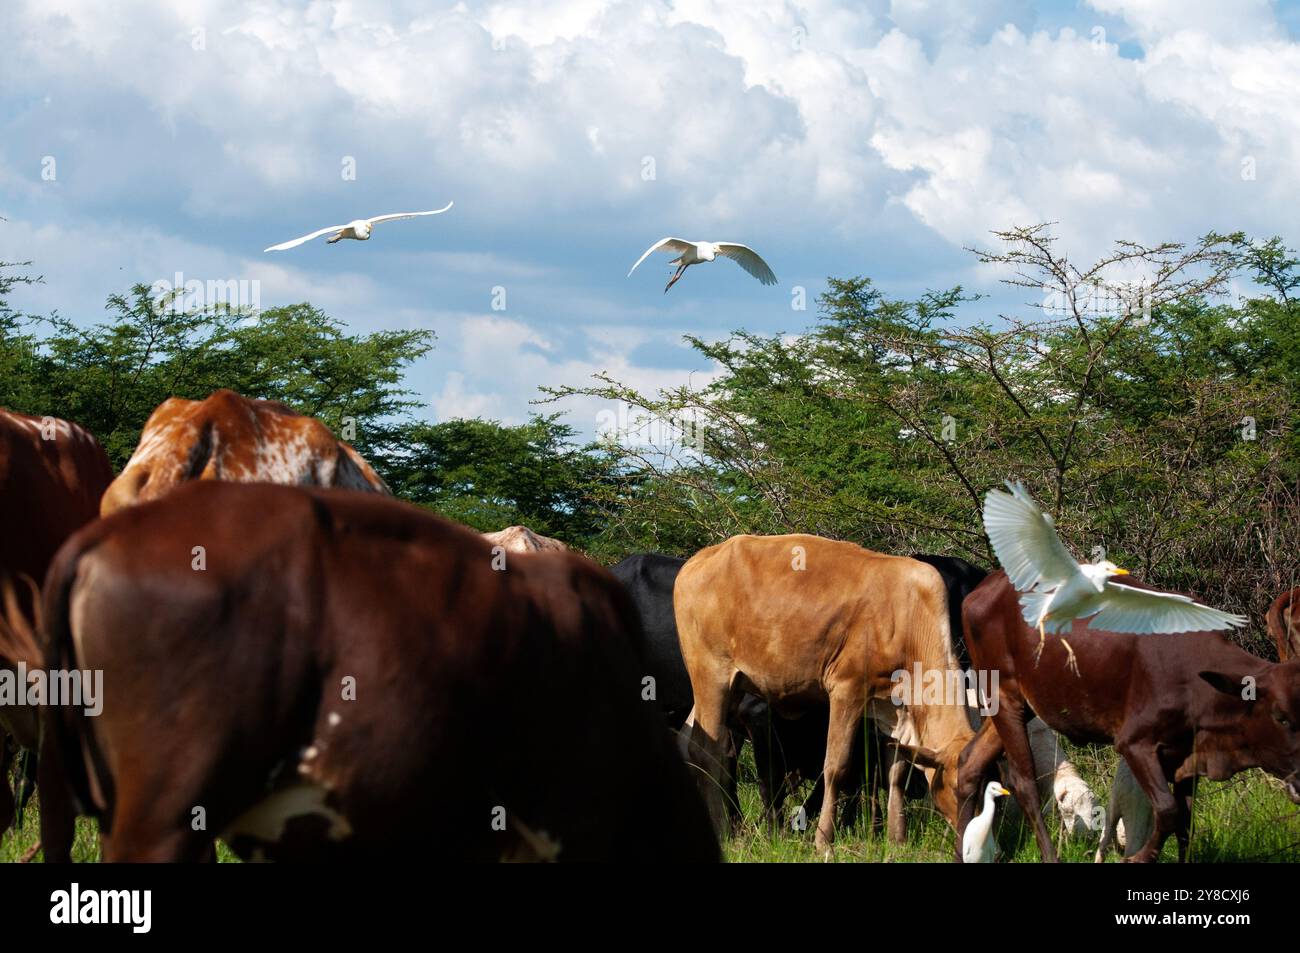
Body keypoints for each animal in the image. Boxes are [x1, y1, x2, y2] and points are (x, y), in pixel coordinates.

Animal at [676, 530, 972, 852]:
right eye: (958, 788)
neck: (910, 618)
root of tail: (701, 558)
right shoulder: (846, 689)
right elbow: (835, 767)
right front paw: (823, 841)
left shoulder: (894, 709)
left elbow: (896, 773)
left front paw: (897, 839)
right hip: (711, 676)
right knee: (706, 751)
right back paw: (722, 831)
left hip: (731, 686)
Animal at [956, 572, 1300, 863]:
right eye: (1280, 717)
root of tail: (984, 588)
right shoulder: (1135, 744)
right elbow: (1168, 811)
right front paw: (1138, 857)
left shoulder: (1186, 755)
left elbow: (1185, 822)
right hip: (1005, 698)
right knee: (1023, 783)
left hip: (1020, 706)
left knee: (969, 763)